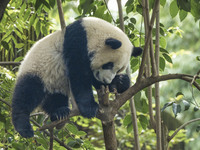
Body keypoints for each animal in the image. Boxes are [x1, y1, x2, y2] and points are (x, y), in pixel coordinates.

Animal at [11, 17, 142, 138]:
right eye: (109, 64)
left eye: (118, 69)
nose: (107, 80)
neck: (90, 31)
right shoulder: (77, 42)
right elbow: (79, 74)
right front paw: (89, 108)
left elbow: (93, 79)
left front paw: (120, 82)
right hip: (37, 69)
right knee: (27, 92)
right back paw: (24, 127)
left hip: (55, 83)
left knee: (55, 97)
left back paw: (59, 113)